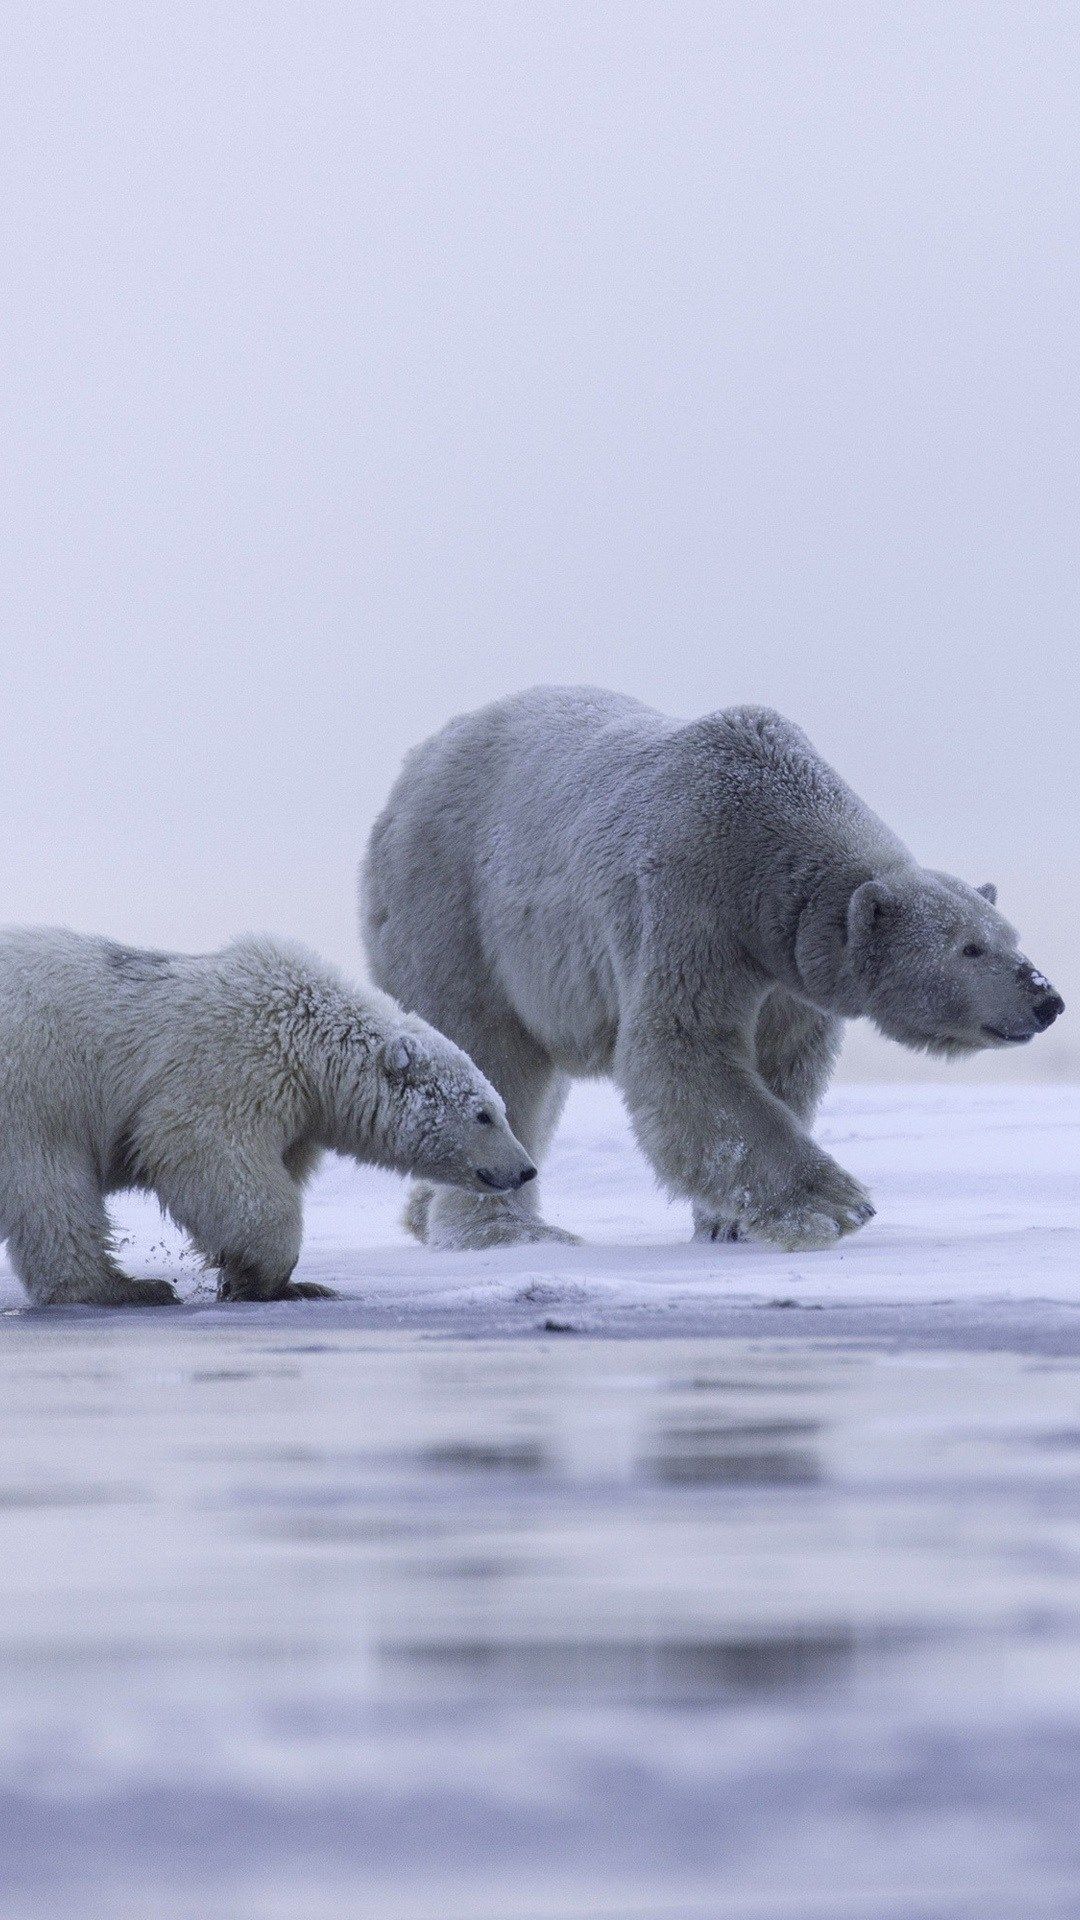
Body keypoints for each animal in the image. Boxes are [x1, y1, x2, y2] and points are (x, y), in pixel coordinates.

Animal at [0, 925, 534, 1305]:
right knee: (51, 1185)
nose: (526, 1169)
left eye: (499, 1109)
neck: (303, 1032)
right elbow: (209, 1155)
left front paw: (260, 1279)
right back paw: (125, 1289)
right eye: (485, 1115)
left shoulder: (298, 1111)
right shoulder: (231, 1065)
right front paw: (271, 1277)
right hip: (36, 1085)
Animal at [361, 683, 1060, 1251]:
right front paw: (833, 1204)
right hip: (456, 906)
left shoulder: (787, 970)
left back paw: (425, 1217)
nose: (1046, 999)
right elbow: (683, 1049)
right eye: (970, 948)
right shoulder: (690, 898)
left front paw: (727, 1223)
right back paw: (506, 1230)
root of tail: (412, 767)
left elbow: (783, 1063)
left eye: (1009, 936)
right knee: (490, 1050)